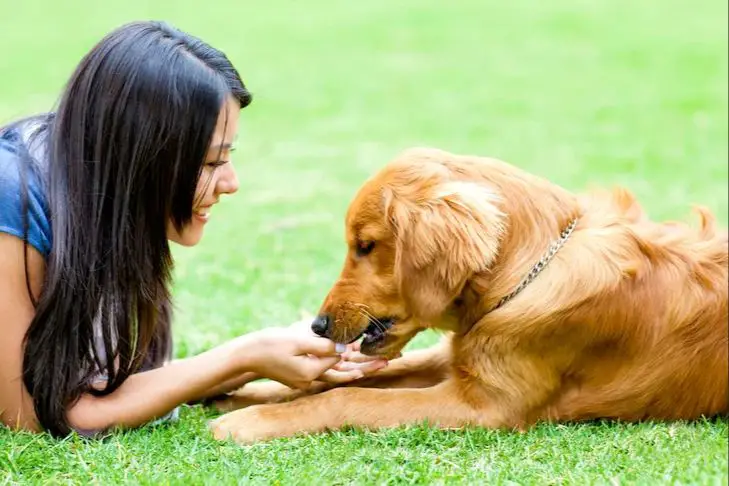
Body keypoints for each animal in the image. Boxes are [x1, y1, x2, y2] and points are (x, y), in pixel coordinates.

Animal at [208, 146, 724, 442]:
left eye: (365, 246)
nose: (317, 326)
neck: (527, 270)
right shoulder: (459, 357)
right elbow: (331, 383)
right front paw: (243, 394)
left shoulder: (486, 405)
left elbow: (348, 397)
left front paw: (250, 420)